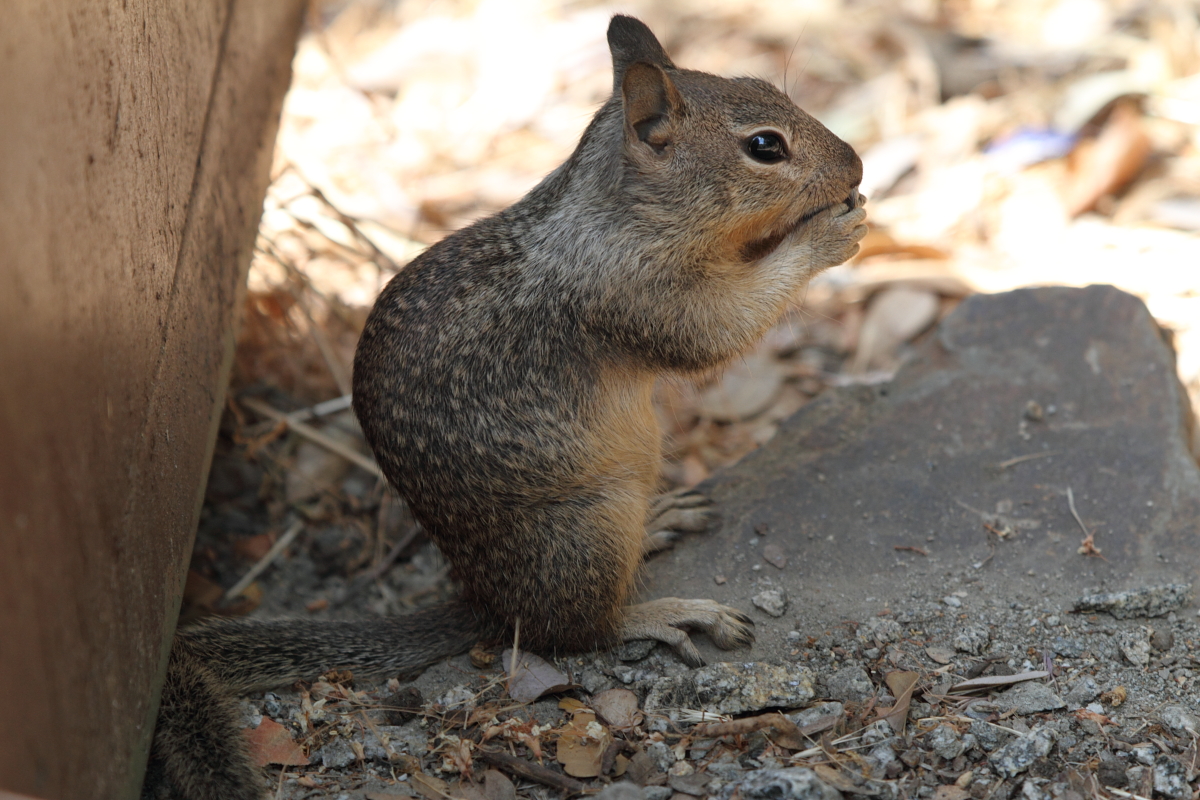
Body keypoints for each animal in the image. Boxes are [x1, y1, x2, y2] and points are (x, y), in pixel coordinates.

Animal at [145, 15, 868, 796]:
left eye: (767, 86)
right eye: (765, 146)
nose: (857, 167)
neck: (621, 212)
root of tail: (486, 598)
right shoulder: (636, 292)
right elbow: (716, 333)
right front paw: (826, 233)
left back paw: (660, 521)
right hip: (583, 532)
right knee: (573, 631)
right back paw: (666, 613)